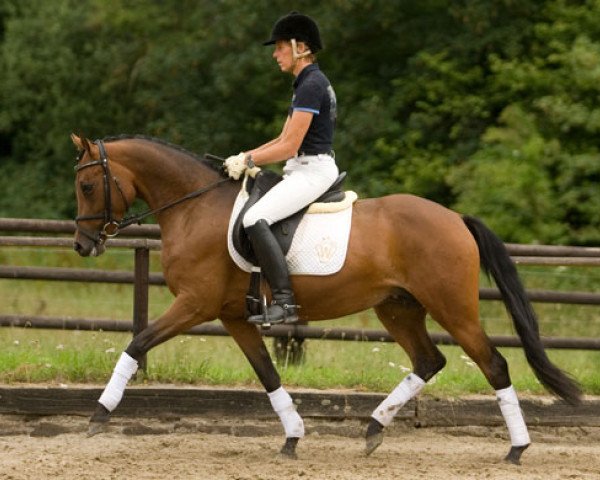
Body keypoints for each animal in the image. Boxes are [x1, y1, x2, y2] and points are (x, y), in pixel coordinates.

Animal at [71, 133, 580, 464]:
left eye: (87, 186)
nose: (82, 245)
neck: (195, 207)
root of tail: (455, 218)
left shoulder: (195, 304)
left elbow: (136, 344)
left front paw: (98, 414)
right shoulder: (234, 317)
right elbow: (268, 374)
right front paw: (293, 437)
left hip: (451, 307)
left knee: (493, 363)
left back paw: (516, 448)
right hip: (397, 307)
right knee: (428, 360)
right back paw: (374, 429)